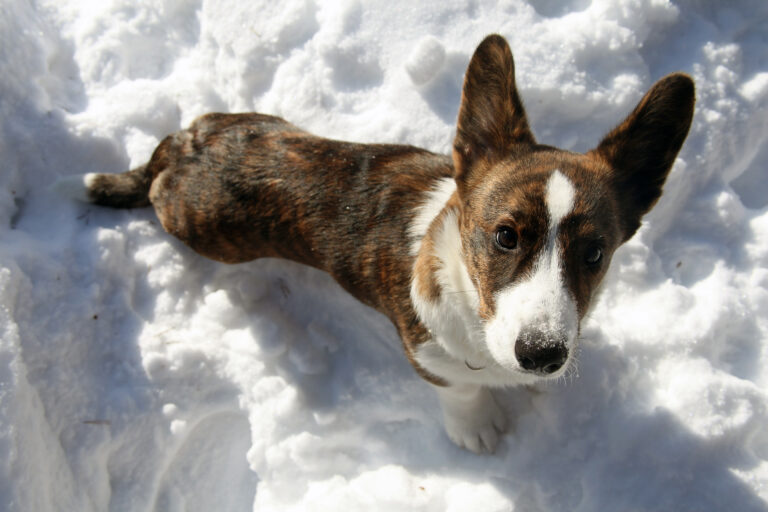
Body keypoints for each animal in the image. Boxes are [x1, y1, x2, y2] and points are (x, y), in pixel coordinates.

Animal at [57, 35, 696, 452]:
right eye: (505, 236)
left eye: (595, 254)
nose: (542, 356)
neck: (472, 304)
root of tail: (182, 152)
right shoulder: (429, 359)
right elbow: (462, 394)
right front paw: (477, 428)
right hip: (199, 228)